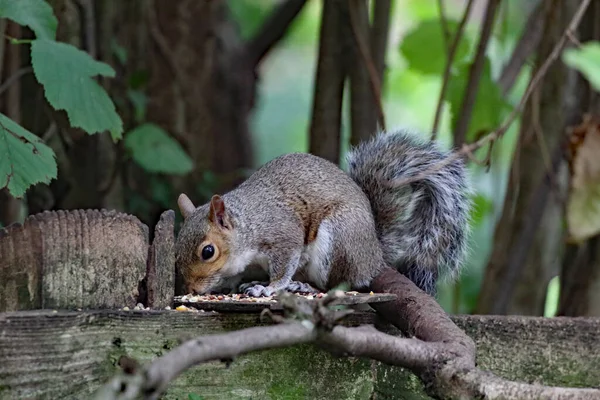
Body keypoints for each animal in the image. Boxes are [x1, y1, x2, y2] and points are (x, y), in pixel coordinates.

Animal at [173, 129, 468, 296]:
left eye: (208, 252)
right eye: (175, 252)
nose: (192, 289)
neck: (248, 225)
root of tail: (374, 253)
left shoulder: (283, 235)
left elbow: (283, 266)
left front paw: (268, 287)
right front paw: (230, 285)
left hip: (338, 239)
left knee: (337, 284)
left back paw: (304, 287)